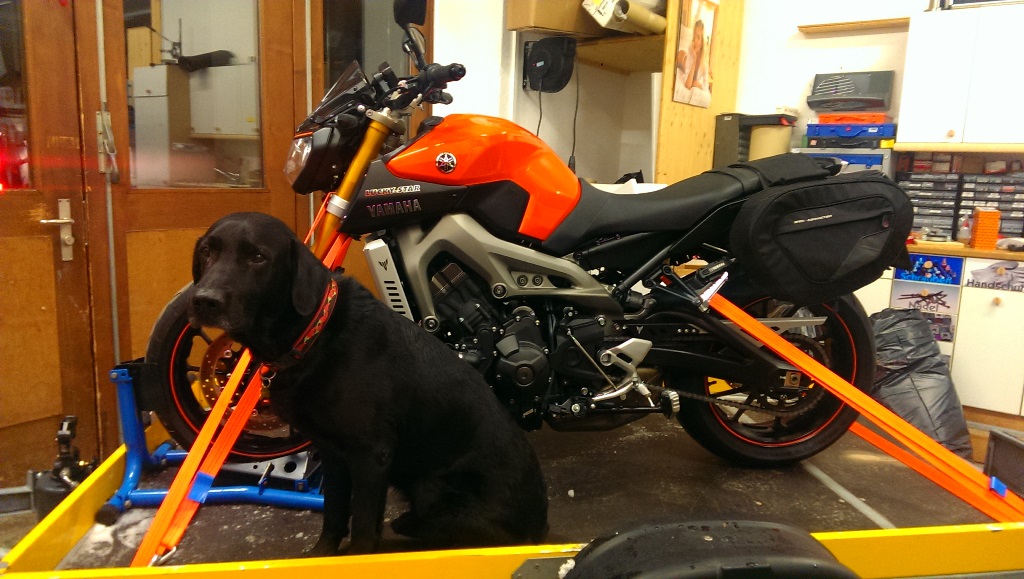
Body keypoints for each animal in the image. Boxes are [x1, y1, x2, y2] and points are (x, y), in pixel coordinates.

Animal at [187, 212, 548, 555]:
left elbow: (361, 523)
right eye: (207, 251)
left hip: (434, 489)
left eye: (258, 257)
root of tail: (538, 528)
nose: (204, 300)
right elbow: (334, 514)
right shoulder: (333, 453)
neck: (315, 334)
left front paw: (359, 555)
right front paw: (323, 555)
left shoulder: (370, 454)